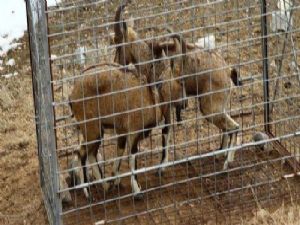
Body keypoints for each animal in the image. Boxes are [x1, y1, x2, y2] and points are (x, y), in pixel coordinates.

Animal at [69, 61, 184, 199]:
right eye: (180, 82)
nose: (184, 103)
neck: (151, 97)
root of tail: (72, 95)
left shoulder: (122, 132)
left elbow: (119, 152)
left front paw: (115, 178)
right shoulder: (133, 131)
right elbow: (132, 157)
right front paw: (137, 191)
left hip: (94, 131)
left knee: (90, 153)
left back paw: (105, 185)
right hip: (92, 128)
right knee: (82, 152)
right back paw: (88, 192)